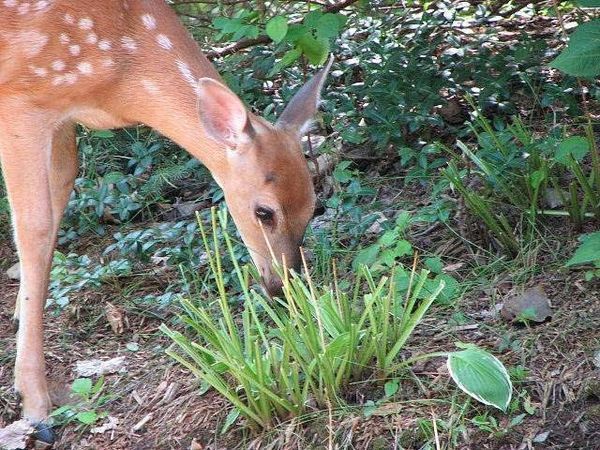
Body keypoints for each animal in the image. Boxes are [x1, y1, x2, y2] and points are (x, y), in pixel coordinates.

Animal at [0, 0, 332, 442]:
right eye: (264, 212)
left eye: (314, 207)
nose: (283, 285)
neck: (121, 75)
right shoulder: (23, 99)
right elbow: (34, 227)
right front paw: (35, 404)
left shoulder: (62, 119)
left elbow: (58, 200)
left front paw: (22, 316)